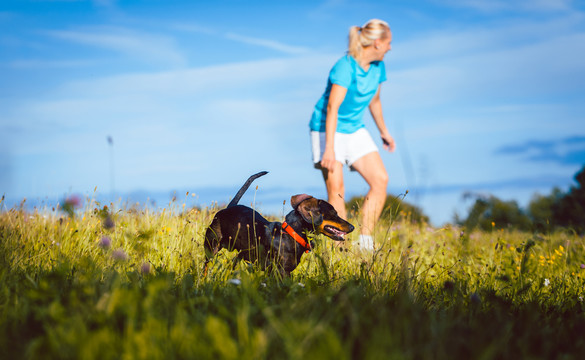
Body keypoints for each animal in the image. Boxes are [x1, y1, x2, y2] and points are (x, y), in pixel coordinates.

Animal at [203, 172, 354, 276]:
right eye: (334, 213)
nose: (352, 227)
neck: (290, 235)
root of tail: (228, 208)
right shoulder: (281, 272)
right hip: (211, 246)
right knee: (206, 265)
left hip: (242, 253)